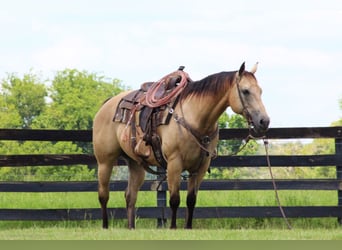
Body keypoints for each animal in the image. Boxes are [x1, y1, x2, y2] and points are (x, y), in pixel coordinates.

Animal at [93, 62, 270, 229]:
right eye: (246, 91)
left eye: (261, 91)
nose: (264, 121)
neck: (195, 118)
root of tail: (106, 105)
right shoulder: (174, 164)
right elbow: (174, 199)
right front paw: (173, 227)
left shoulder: (200, 167)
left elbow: (191, 200)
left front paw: (188, 227)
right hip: (105, 162)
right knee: (103, 195)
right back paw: (105, 226)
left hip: (135, 164)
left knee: (130, 196)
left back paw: (131, 228)